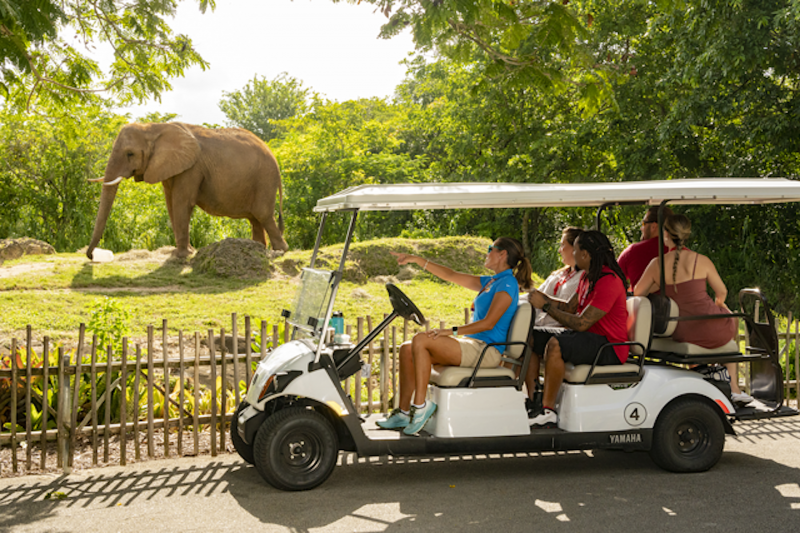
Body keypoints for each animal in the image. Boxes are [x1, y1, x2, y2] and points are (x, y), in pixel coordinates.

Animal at [88, 122, 288, 260]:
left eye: (130, 154)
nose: (91, 256)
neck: (153, 128)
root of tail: (275, 158)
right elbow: (171, 204)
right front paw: (186, 252)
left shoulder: (192, 168)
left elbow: (181, 203)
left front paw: (182, 255)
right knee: (255, 218)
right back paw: (258, 248)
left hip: (265, 179)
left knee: (263, 215)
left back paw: (280, 251)